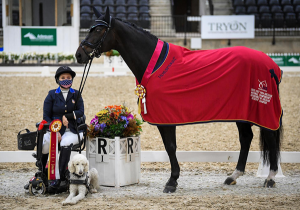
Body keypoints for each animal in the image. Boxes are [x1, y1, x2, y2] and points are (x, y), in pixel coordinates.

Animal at [76, 7, 282, 192]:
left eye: (99, 30)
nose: (79, 54)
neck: (154, 64)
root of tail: (272, 66)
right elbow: (171, 148)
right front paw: (173, 179)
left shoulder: (166, 119)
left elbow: (170, 147)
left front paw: (172, 181)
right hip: (242, 113)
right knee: (246, 138)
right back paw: (234, 176)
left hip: (261, 110)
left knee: (270, 138)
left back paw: (271, 178)